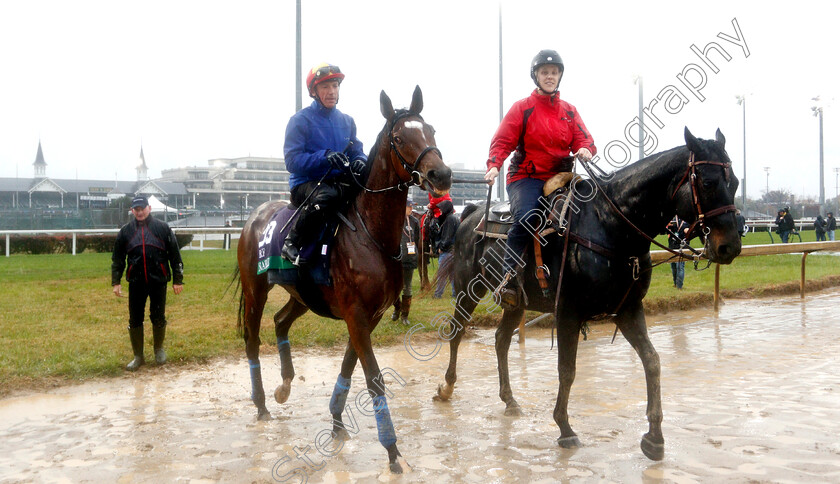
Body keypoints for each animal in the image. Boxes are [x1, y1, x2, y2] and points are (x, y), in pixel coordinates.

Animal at [235, 87, 452, 472]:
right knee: (252, 338)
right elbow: (374, 379)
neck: (371, 234)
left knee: (281, 321)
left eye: (431, 131)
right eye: (399, 138)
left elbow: (349, 367)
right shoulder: (356, 314)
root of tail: (255, 214)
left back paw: (284, 385)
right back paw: (260, 403)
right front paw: (392, 450)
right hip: (255, 289)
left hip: (303, 295)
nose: (440, 174)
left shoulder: (370, 315)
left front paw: (337, 422)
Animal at [434, 129, 740, 462]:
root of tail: (471, 214)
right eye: (708, 183)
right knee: (456, 331)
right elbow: (567, 370)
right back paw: (446, 387)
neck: (609, 226)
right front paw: (565, 428)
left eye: (736, 182)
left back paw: (509, 400)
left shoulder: (628, 310)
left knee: (501, 339)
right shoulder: (568, 313)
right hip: (468, 289)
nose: (731, 246)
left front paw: (654, 437)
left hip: (516, 303)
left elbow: (652, 361)